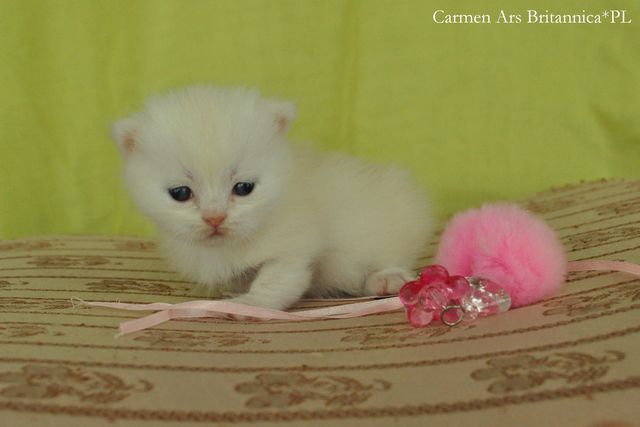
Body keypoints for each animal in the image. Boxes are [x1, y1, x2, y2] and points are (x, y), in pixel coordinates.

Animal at [111, 86, 432, 311]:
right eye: (180, 193)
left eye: (244, 188)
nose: (215, 218)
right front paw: (235, 291)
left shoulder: (294, 247)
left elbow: (277, 280)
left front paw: (248, 304)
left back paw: (386, 279)